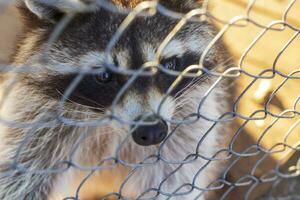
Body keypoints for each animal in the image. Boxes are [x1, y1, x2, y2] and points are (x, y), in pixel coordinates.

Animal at [0, 0, 233, 199]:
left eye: (169, 65)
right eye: (104, 76)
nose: (151, 131)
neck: (110, 128)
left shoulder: (187, 123)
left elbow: (176, 180)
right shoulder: (37, 117)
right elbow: (16, 177)